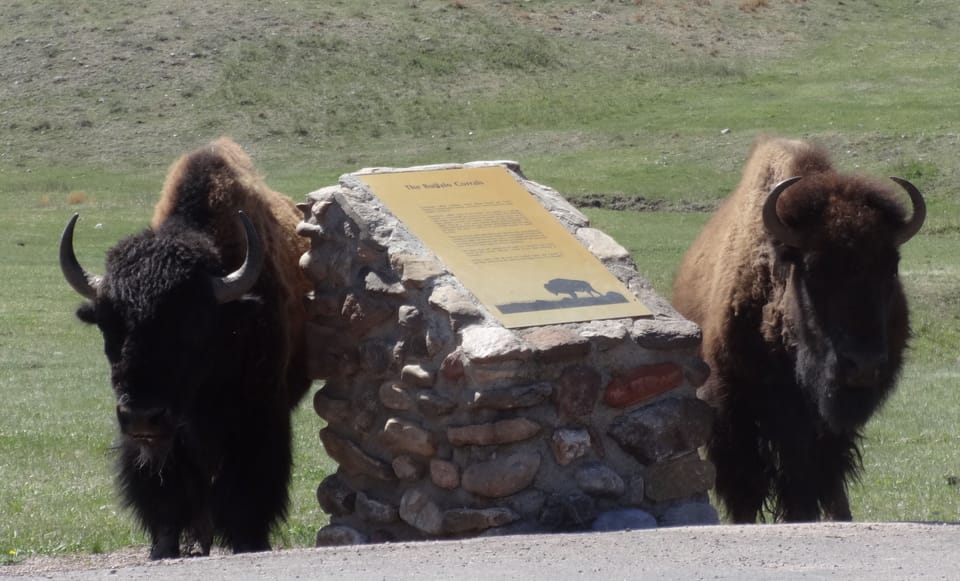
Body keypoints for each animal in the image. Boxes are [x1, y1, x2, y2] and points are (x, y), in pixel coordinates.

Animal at [59, 138, 313, 558]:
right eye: (108, 325)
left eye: (193, 324)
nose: (143, 418)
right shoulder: (165, 440)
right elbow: (170, 490)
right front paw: (164, 547)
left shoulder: (257, 414)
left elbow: (247, 485)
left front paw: (248, 541)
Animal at [672, 136, 925, 522]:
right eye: (813, 268)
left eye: (891, 266)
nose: (863, 366)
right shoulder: (731, 400)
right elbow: (746, 477)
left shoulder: (820, 420)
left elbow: (811, 470)